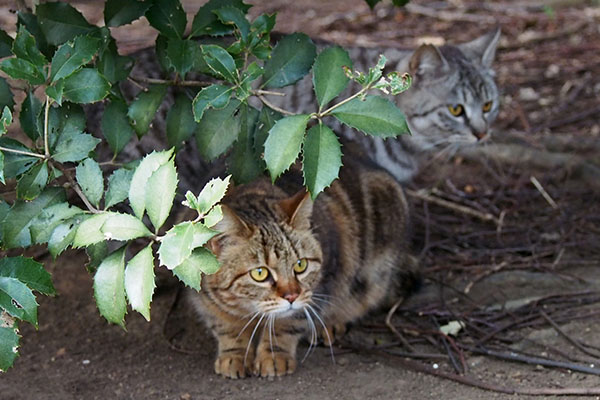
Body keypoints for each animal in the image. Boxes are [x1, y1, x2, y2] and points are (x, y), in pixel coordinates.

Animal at [190, 143, 420, 378]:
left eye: (300, 265)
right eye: (260, 273)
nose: (292, 296)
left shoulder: (321, 284)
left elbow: (287, 322)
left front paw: (274, 354)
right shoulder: (203, 298)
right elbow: (226, 327)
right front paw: (234, 354)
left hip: (377, 264)